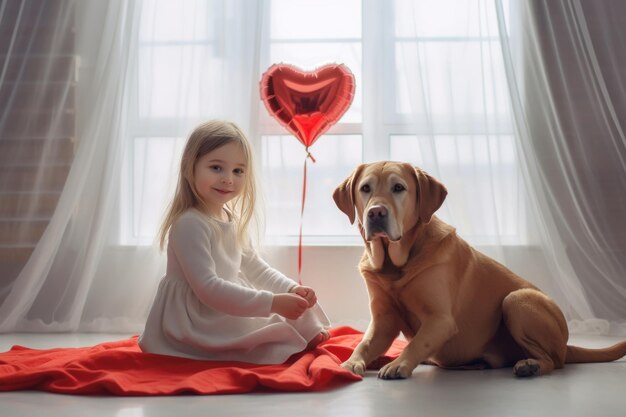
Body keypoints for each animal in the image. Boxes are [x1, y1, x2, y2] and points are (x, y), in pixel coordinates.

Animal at [334, 161, 624, 378]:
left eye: (398, 188)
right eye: (365, 188)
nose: (376, 213)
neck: (395, 264)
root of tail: (566, 343)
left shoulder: (440, 319)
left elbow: (417, 342)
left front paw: (398, 364)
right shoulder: (382, 321)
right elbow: (364, 343)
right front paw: (351, 362)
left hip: (516, 300)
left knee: (554, 360)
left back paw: (530, 365)